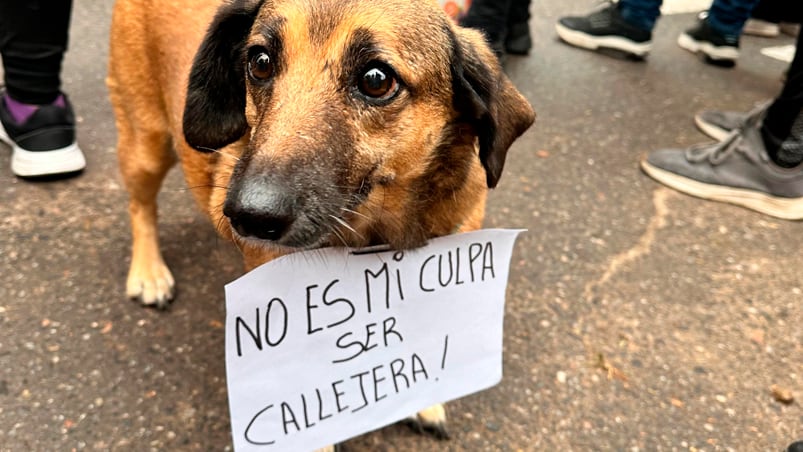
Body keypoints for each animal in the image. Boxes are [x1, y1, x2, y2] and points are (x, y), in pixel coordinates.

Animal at [107, 0, 532, 442]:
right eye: (259, 62)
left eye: (376, 80)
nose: (248, 216)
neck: (376, 234)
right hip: (146, 145)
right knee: (140, 207)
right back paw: (148, 273)